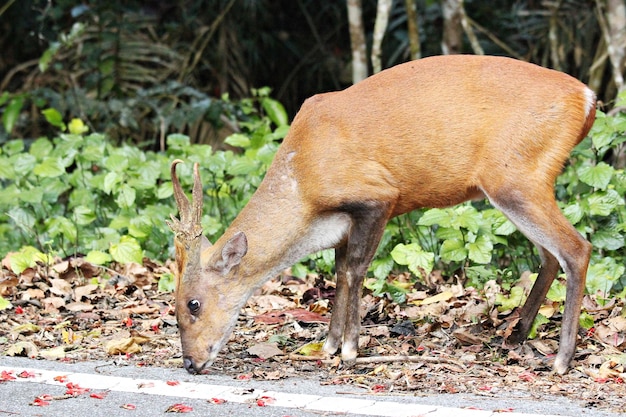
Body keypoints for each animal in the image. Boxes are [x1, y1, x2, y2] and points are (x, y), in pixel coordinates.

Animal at [167, 54, 596, 374]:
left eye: (192, 304)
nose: (190, 362)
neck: (303, 184)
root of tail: (588, 97)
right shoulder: (341, 222)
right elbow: (339, 270)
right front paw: (329, 344)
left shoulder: (378, 196)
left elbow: (356, 268)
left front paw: (350, 350)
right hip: (520, 183)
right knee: (549, 255)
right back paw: (515, 336)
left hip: (516, 175)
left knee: (577, 248)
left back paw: (561, 360)